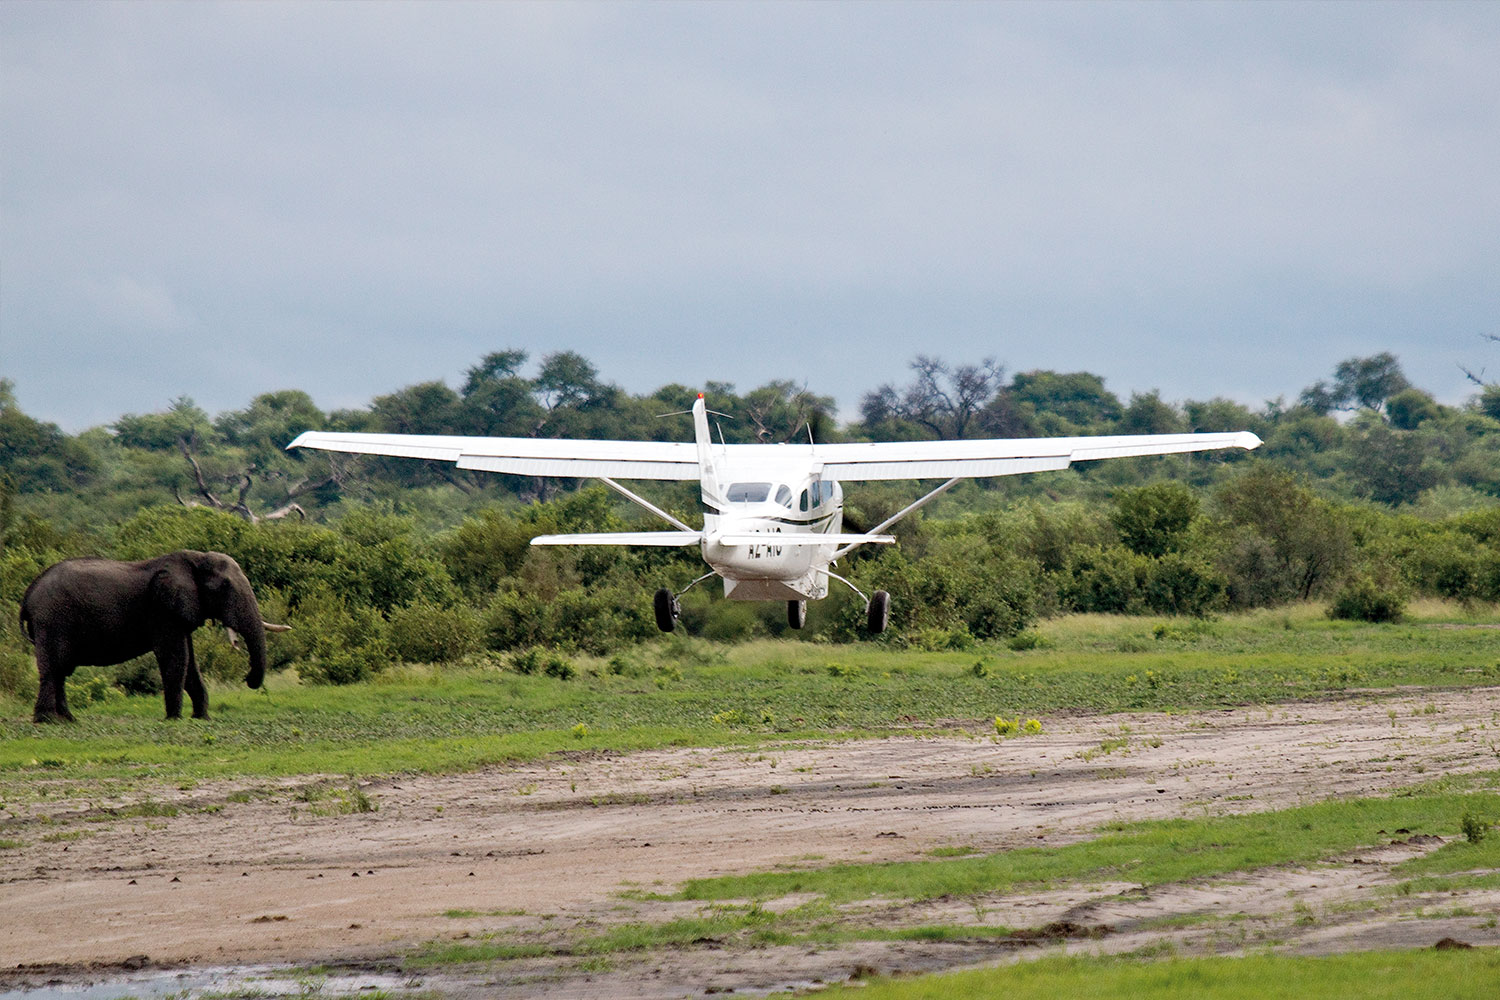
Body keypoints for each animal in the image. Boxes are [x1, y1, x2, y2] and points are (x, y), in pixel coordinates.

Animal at [19, 550, 289, 723]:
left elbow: (190, 663)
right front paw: (174, 719)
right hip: (52, 620)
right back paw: (49, 721)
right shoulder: (163, 610)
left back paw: (68, 720)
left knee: (61, 671)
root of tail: (28, 594)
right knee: (53, 669)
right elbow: (175, 658)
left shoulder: (180, 613)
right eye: (224, 587)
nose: (247, 680)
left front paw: (201, 718)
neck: (195, 559)